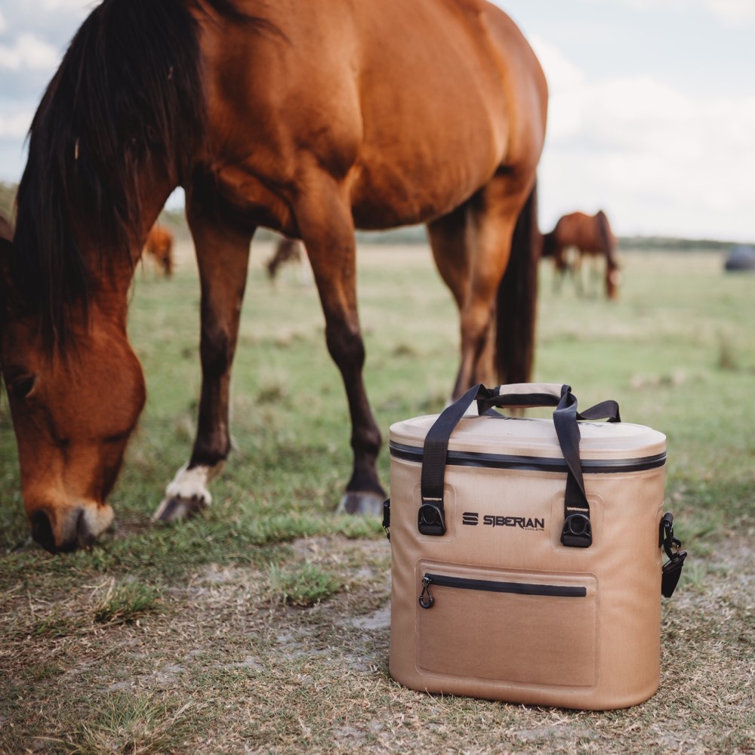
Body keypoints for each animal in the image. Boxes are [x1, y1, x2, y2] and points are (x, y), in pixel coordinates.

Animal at [0, 0, 548, 556]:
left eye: (22, 382)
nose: (46, 524)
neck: (222, 54)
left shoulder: (322, 200)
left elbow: (345, 341)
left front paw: (363, 480)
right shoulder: (215, 213)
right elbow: (216, 341)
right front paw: (194, 478)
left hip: (497, 203)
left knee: (474, 320)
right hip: (450, 220)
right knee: (477, 316)